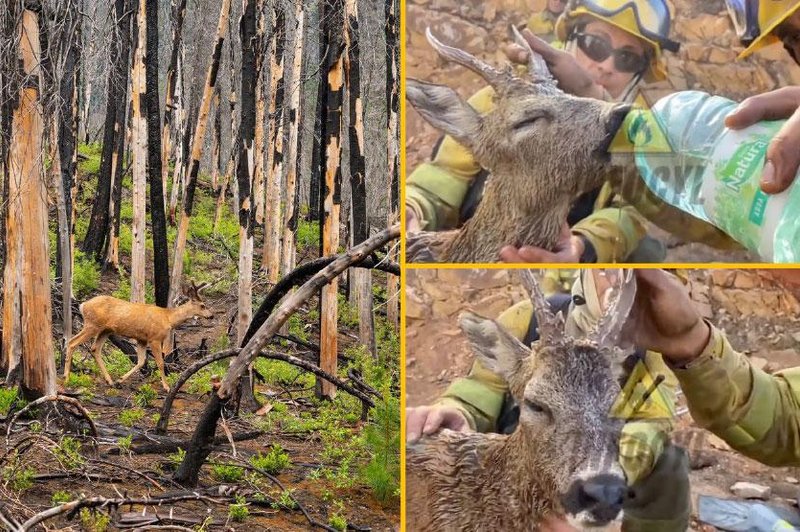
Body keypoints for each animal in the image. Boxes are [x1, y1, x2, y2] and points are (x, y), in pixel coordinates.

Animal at [65, 282, 216, 390]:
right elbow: (160, 363)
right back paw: (66, 378)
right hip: (92, 325)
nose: (211, 315)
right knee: (72, 342)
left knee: (94, 349)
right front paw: (166, 387)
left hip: (105, 330)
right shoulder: (154, 338)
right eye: (202, 305)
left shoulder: (142, 339)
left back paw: (110, 381)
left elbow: (141, 361)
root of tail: (83, 305)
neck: (168, 318)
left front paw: (120, 380)